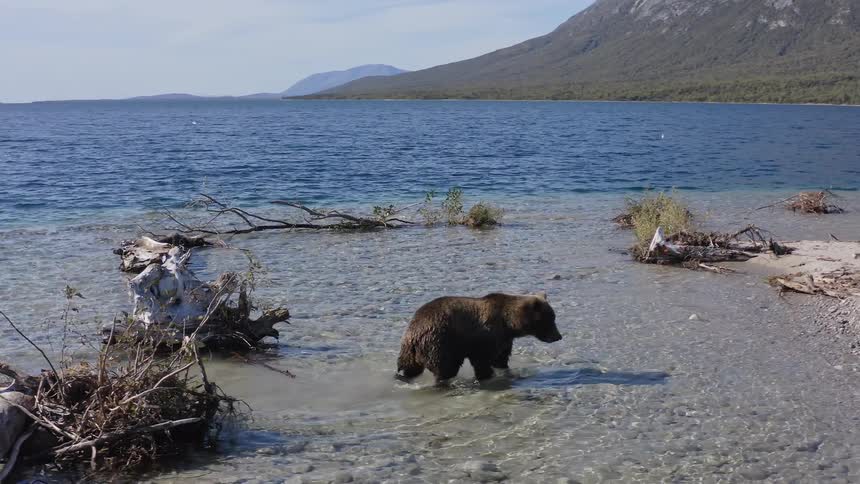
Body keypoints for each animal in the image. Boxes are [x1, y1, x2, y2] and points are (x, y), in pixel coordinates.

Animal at [396, 292, 562, 384]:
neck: (508, 324)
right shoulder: (484, 337)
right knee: (446, 368)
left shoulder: (504, 340)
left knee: (409, 368)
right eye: (550, 319)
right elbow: (483, 361)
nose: (558, 336)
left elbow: (501, 359)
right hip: (440, 341)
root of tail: (412, 334)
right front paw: (487, 376)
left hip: (410, 351)